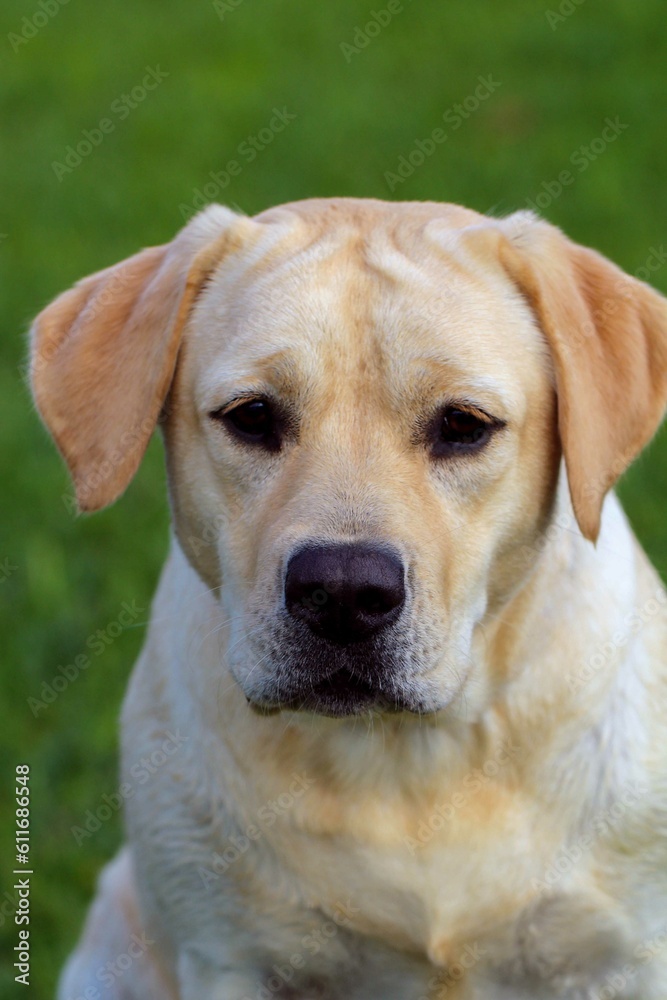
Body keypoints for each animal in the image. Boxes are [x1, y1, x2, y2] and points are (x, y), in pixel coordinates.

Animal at [30, 197, 667, 1000]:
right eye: (251, 416)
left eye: (463, 426)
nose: (342, 592)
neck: (408, 755)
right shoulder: (228, 956)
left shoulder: (622, 955)